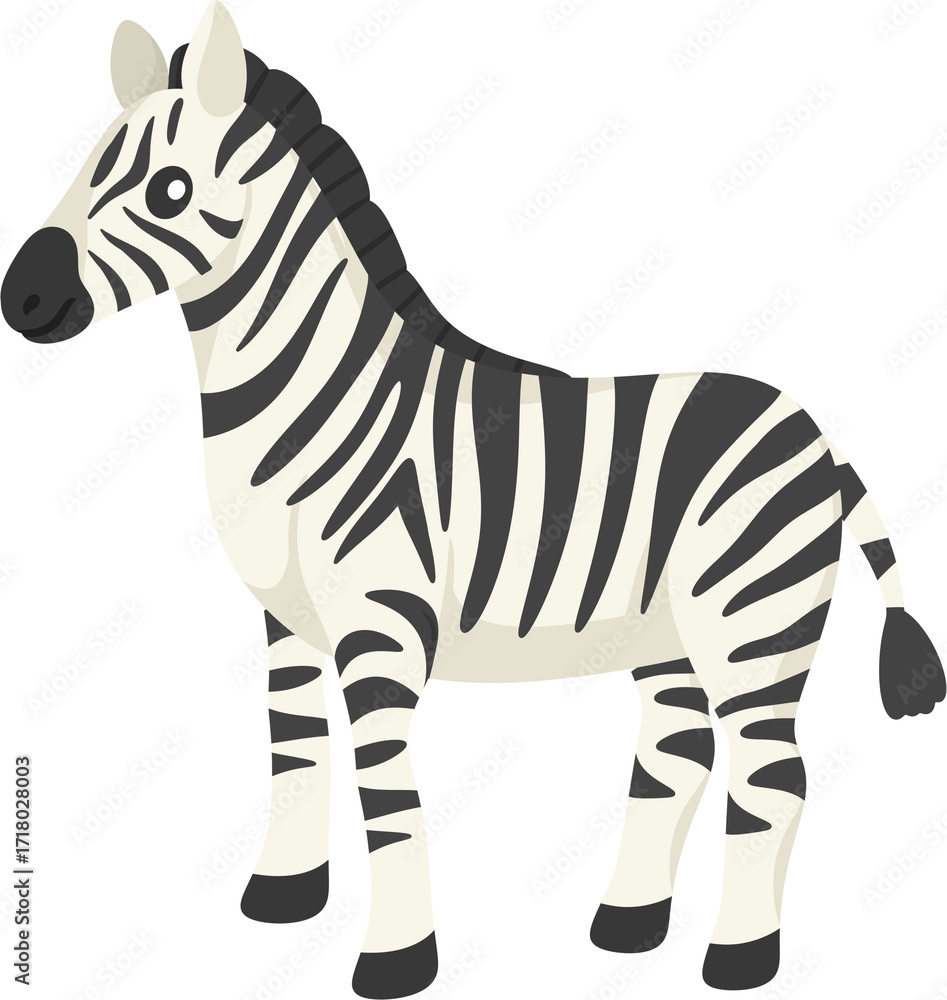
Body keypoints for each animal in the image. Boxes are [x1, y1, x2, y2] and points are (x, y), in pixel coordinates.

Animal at [3, 5, 944, 997]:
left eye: (171, 189)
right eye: (85, 162)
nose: (19, 297)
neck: (309, 399)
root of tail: (816, 431)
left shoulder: (379, 624)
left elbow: (384, 795)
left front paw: (395, 959)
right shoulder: (286, 621)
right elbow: (293, 752)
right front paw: (283, 899)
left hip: (749, 620)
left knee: (771, 778)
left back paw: (737, 957)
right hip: (667, 634)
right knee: (675, 758)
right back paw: (627, 925)